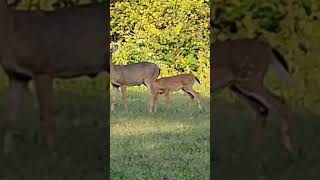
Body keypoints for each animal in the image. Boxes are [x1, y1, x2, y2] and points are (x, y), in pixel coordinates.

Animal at [0, 0, 109, 156]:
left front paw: (53, 155)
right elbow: (11, 120)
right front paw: (6, 155)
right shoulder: (16, 76)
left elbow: (46, 117)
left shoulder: (42, 69)